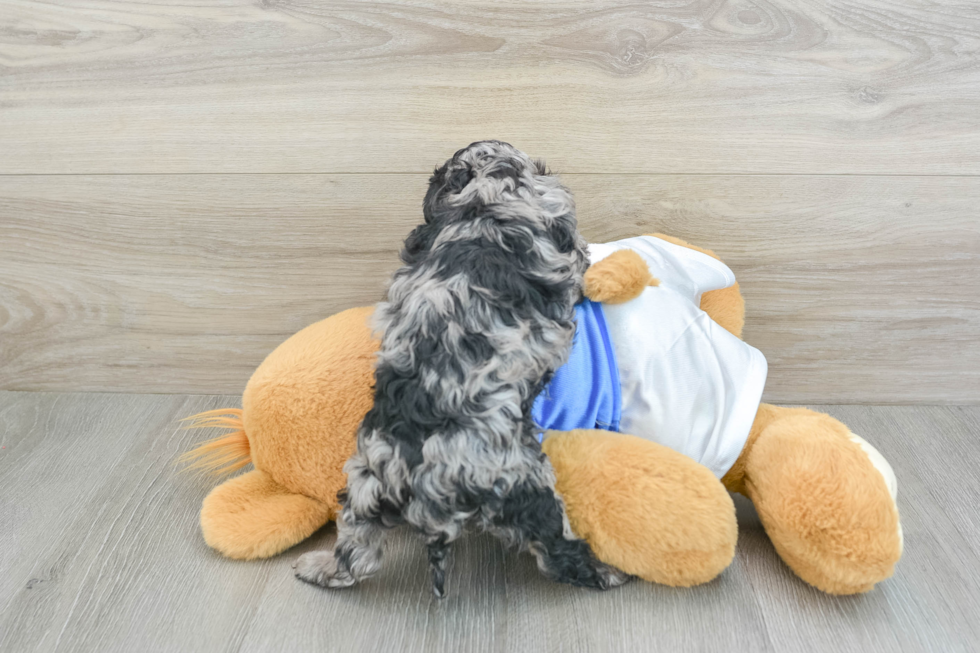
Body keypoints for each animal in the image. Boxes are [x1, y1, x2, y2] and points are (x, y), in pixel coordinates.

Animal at [294, 141, 628, 596]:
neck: (487, 195)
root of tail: (426, 473)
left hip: (366, 483)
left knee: (357, 554)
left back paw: (318, 567)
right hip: (528, 486)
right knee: (558, 552)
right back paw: (608, 571)